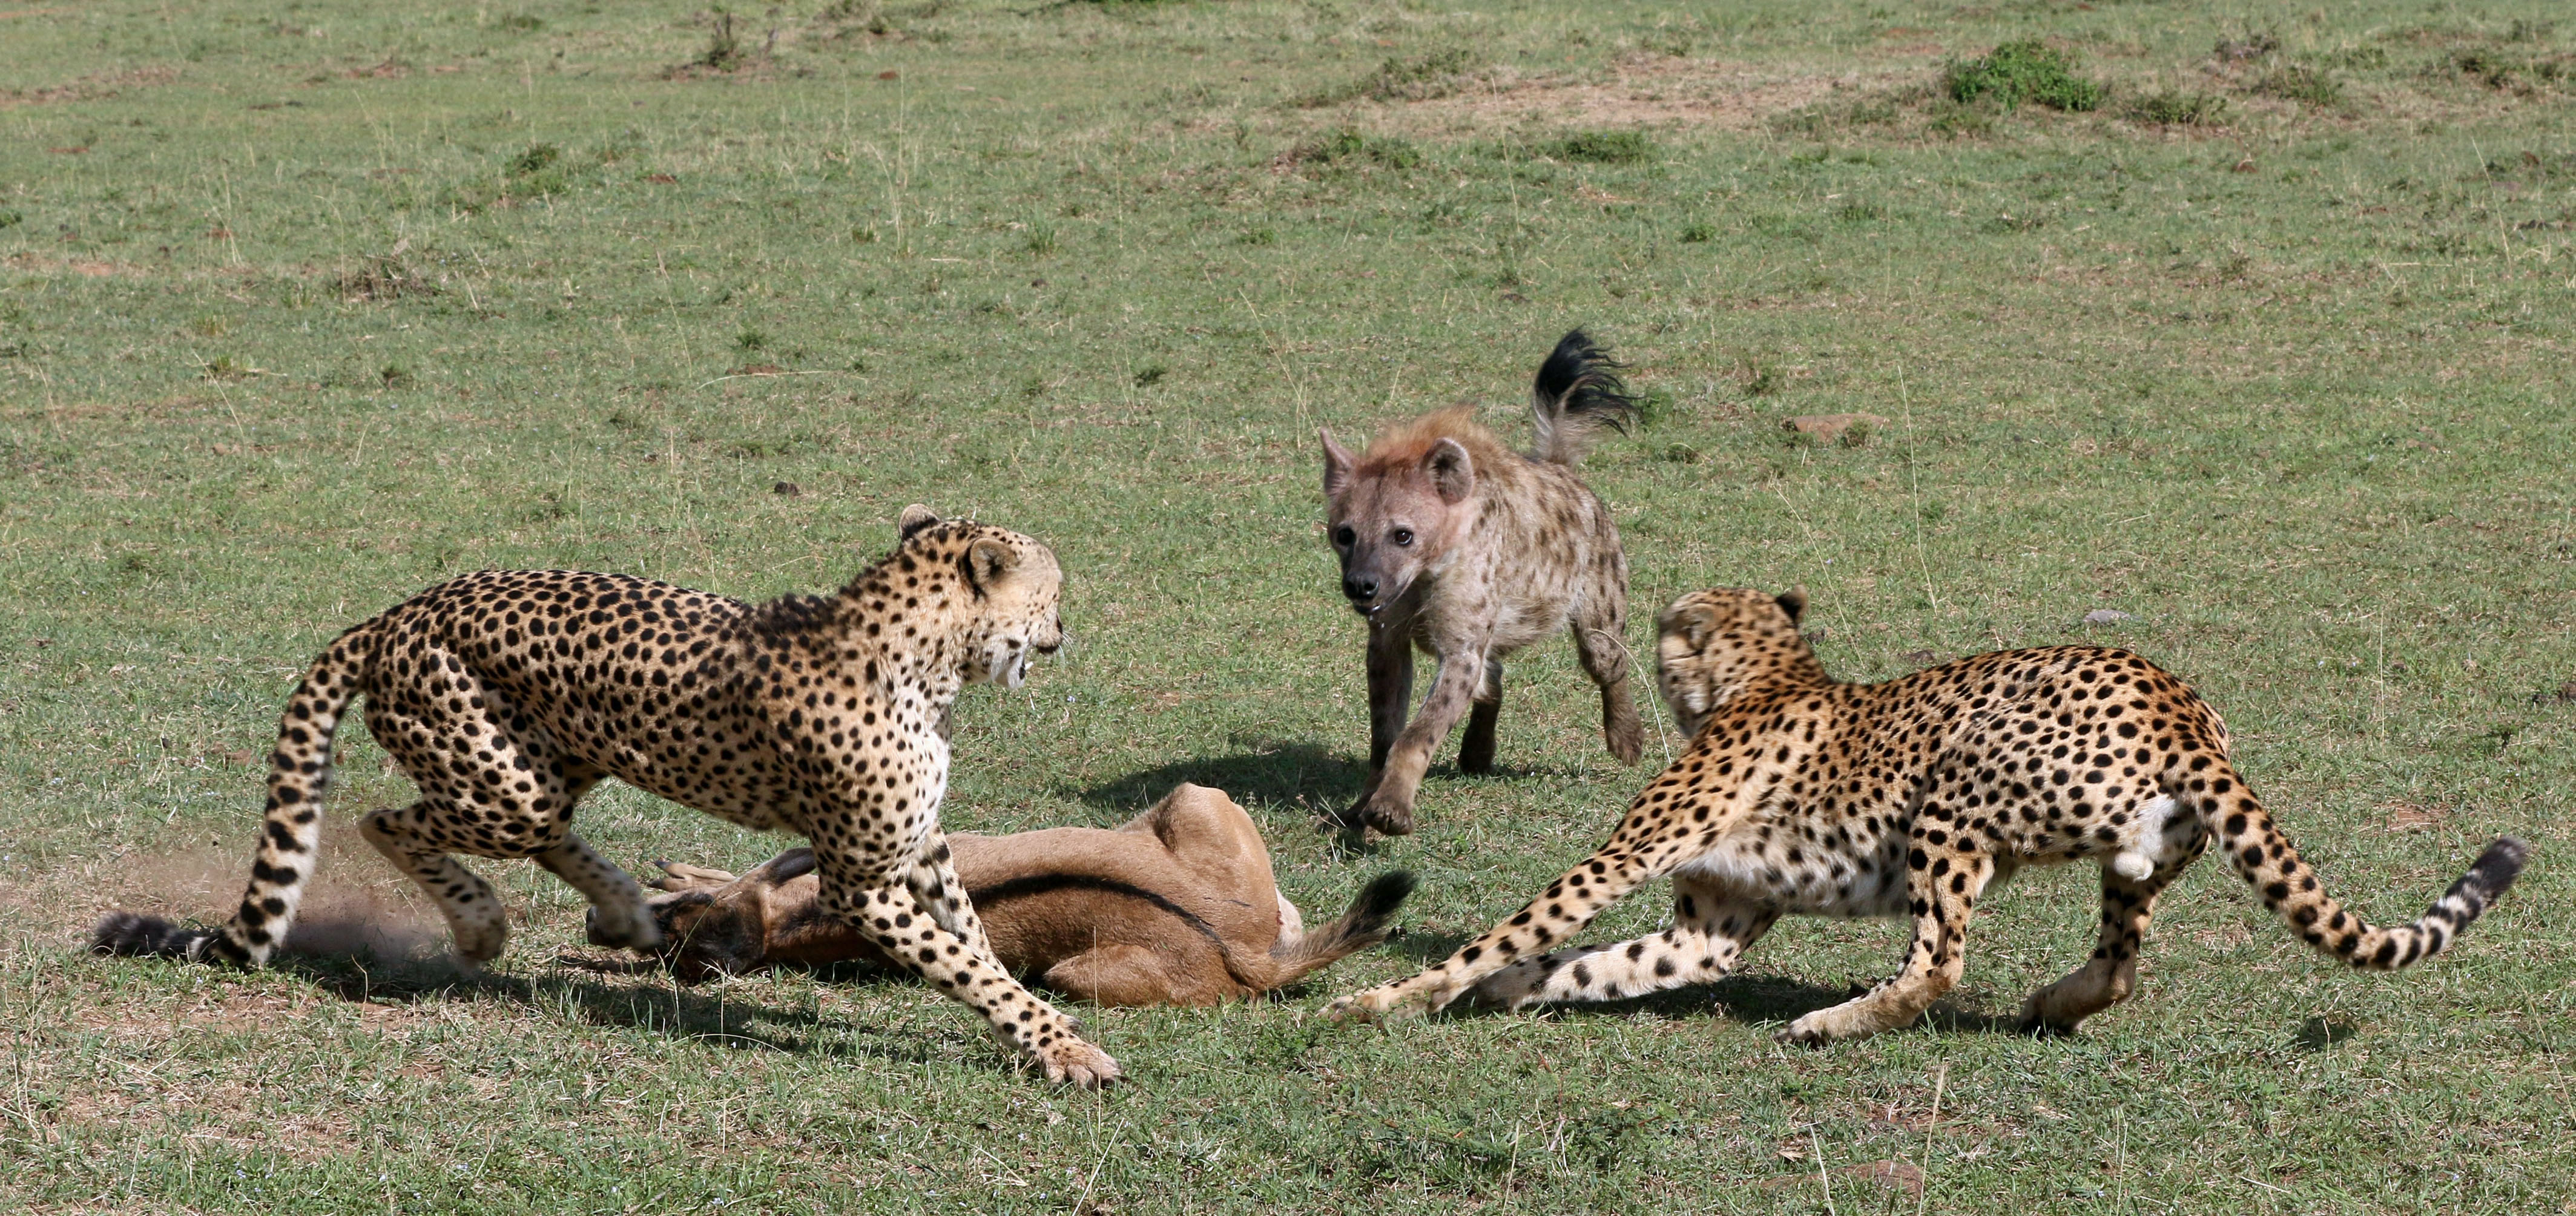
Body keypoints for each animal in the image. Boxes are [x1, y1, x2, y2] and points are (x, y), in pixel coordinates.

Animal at [95, 507, 1123, 1087]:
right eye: (1051, 592)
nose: (1064, 630)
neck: (925, 656)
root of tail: (399, 610)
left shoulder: (920, 848)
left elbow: (973, 940)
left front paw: (1033, 1036)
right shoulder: (859, 879)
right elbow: (965, 964)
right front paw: (1063, 1049)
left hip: (555, 757)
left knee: (548, 830)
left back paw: (628, 909)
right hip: (498, 779)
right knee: (386, 818)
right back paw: (481, 925)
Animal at [1329, 327, 1649, 829]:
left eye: (1403, 534)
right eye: (1344, 534)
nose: (1362, 584)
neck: (1424, 577)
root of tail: (1561, 469)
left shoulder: (1460, 640)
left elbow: (1418, 730)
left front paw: (1390, 809)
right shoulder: (1387, 637)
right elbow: (1385, 730)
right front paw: (1362, 803)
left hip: (1600, 590)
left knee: (1607, 658)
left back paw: (1626, 739)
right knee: (1491, 676)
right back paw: (1476, 753)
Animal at [1339, 590, 2524, 1046]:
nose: (1647, 645)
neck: (1770, 672)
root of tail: (2176, 699)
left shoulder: (1630, 857)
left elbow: (1520, 924)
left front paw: (1378, 997)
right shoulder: (1706, 927)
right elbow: (1595, 963)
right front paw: (1507, 991)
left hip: (1952, 795)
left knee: (1942, 960)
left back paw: (1832, 1021)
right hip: (2141, 852)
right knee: (2120, 955)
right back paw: (2055, 999)